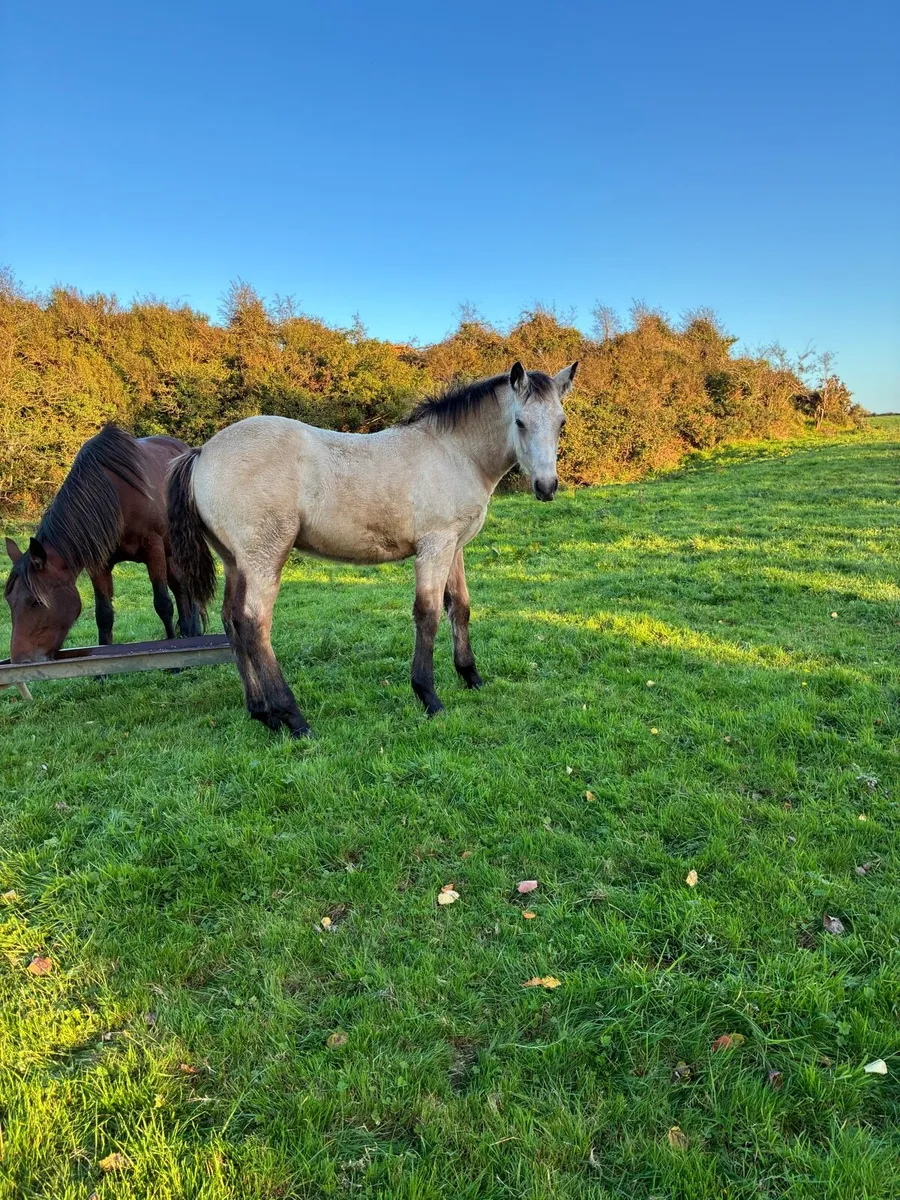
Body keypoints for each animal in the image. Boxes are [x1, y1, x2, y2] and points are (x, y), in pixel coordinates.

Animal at [4, 424, 202, 662]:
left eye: (36, 602)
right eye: (9, 601)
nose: (20, 662)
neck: (115, 498)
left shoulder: (153, 548)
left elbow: (163, 604)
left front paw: (173, 660)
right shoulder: (98, 563)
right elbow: (104, 614)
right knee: (180, 588)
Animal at [167, 361, 577, 737]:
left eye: (561, 422)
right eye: (520, 422)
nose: (546, 487)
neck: (453, 452)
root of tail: (202, 452)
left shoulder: (454, 546)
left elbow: (459, 607)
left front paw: (471, 677)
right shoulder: (435, 545)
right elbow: (428, 614)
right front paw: (428, 697)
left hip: (235, 561)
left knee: (232, 621)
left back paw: (262, 713)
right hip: (265, 556)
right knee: (255, 623)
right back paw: (293, 718)